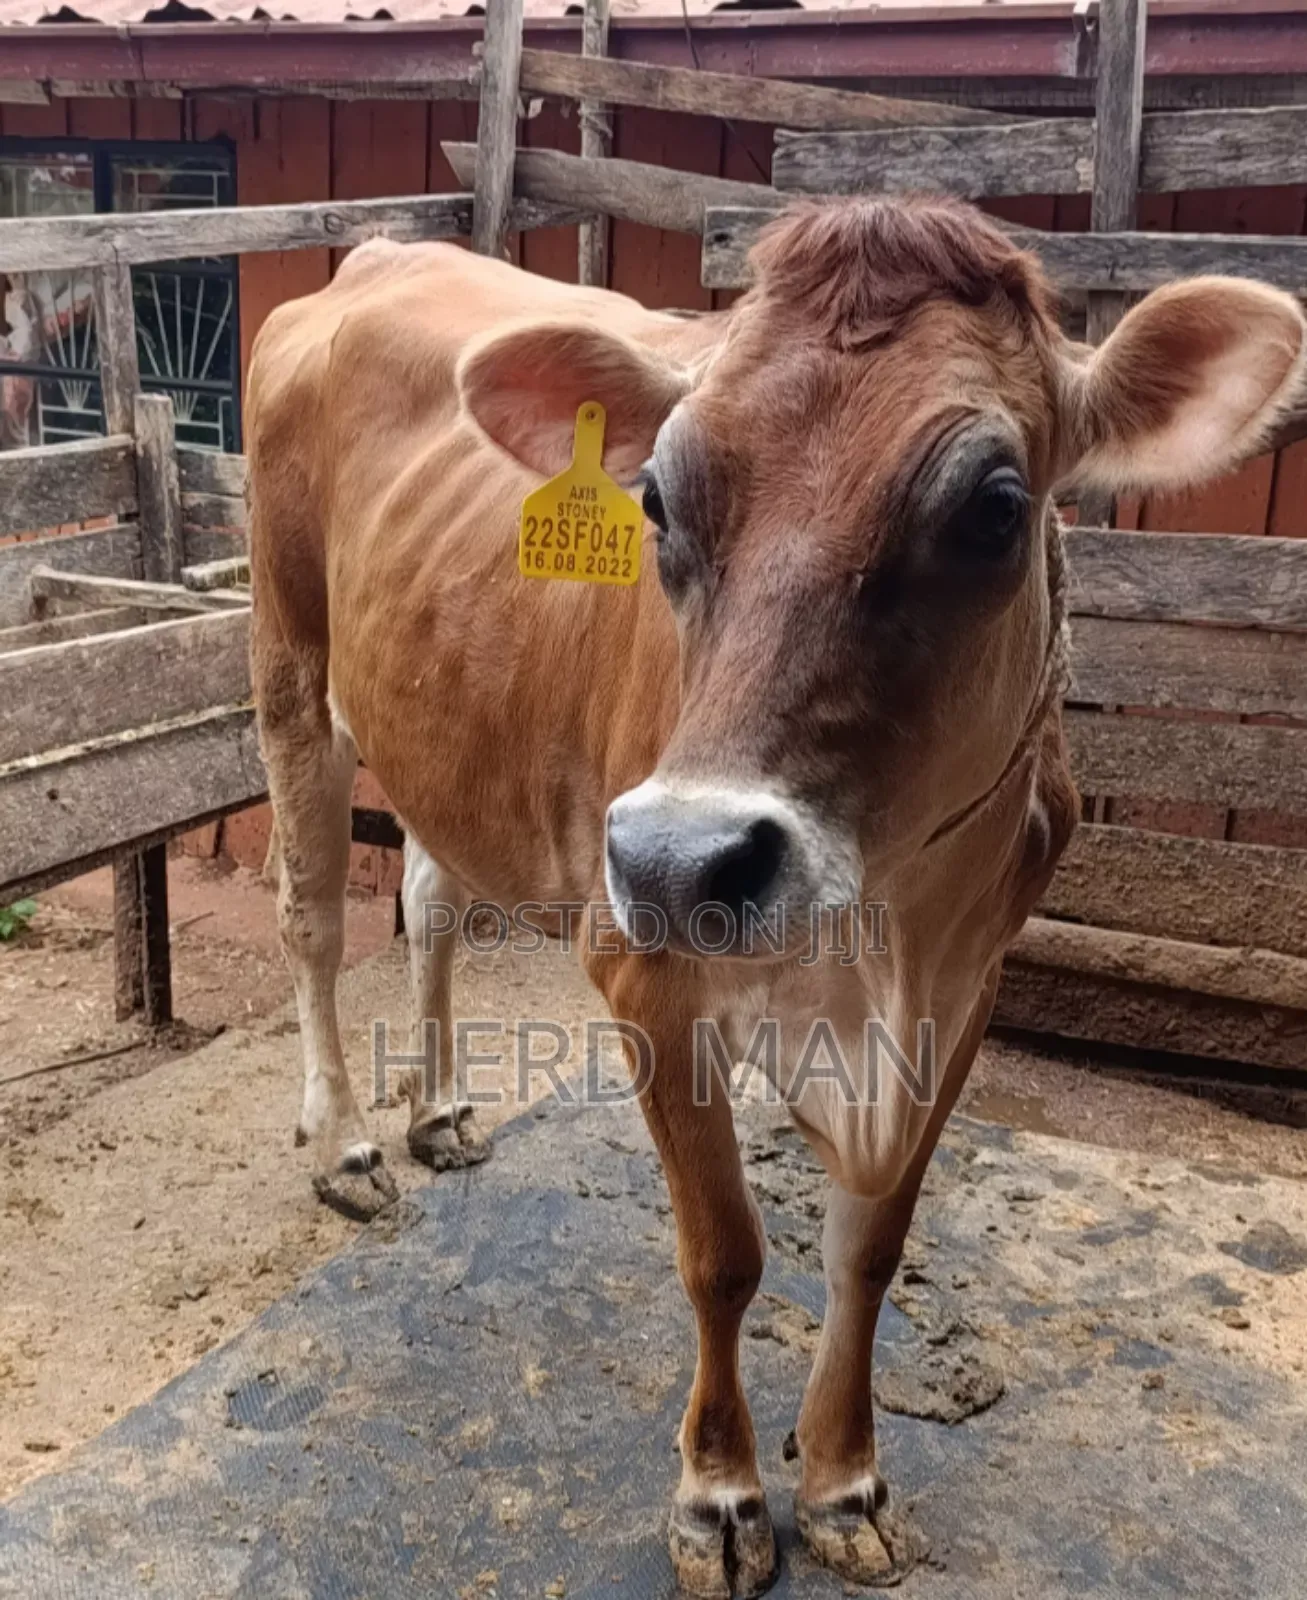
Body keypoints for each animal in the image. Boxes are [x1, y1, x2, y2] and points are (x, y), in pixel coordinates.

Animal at [246, 197, 1304, 1595]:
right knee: (312, 909)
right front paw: (719, 1498)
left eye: (995, 510)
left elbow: (871, 1245)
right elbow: (725, 1253)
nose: (679, 861)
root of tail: (373, 254)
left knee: (426, 892)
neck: (881, 933)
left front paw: (846, 1482)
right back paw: (350, 1140)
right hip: (287, 652)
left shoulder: (968, 989)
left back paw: (439, 1110)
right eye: (652, 496)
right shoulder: (642, 964)